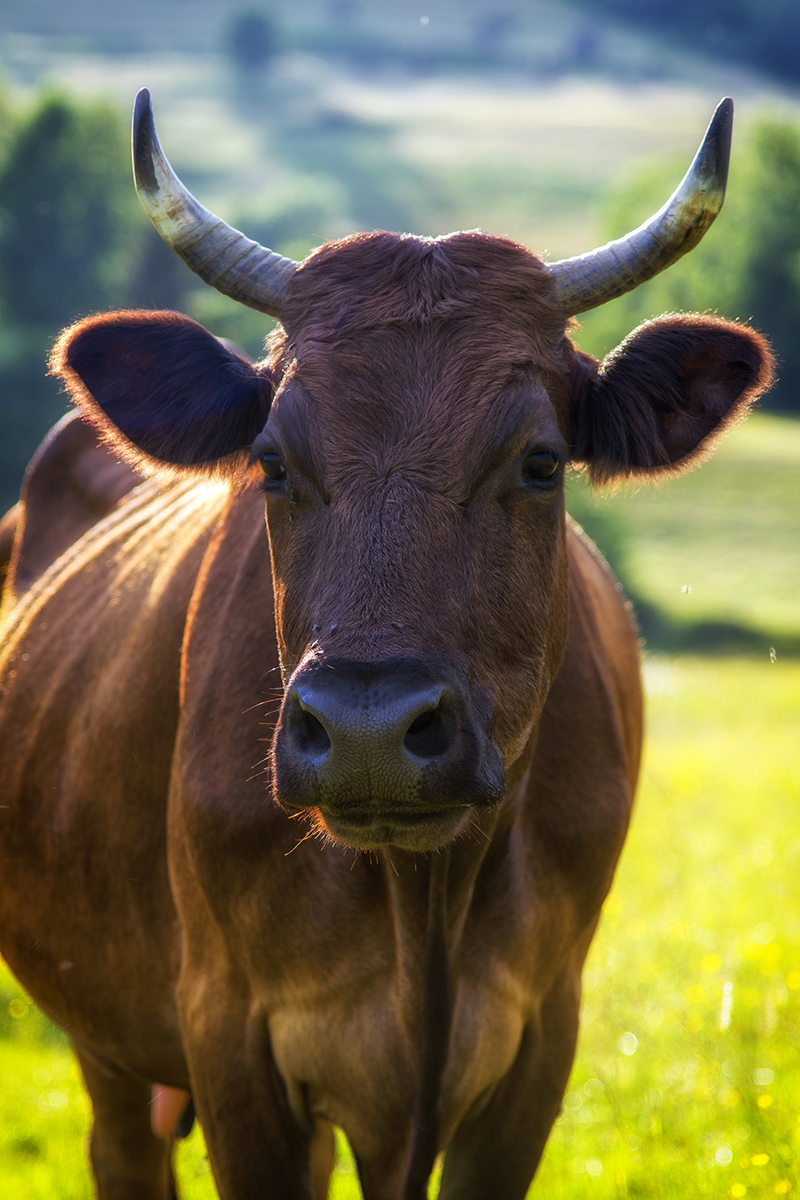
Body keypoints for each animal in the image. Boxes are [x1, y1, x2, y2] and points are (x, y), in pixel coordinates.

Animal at [0, 91, 773, 1200]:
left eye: (541, 461)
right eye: (271, 461)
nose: (367, 731)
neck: (424, 912)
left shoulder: (538, 1046)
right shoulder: (230, 1036)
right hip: (107, 1038)